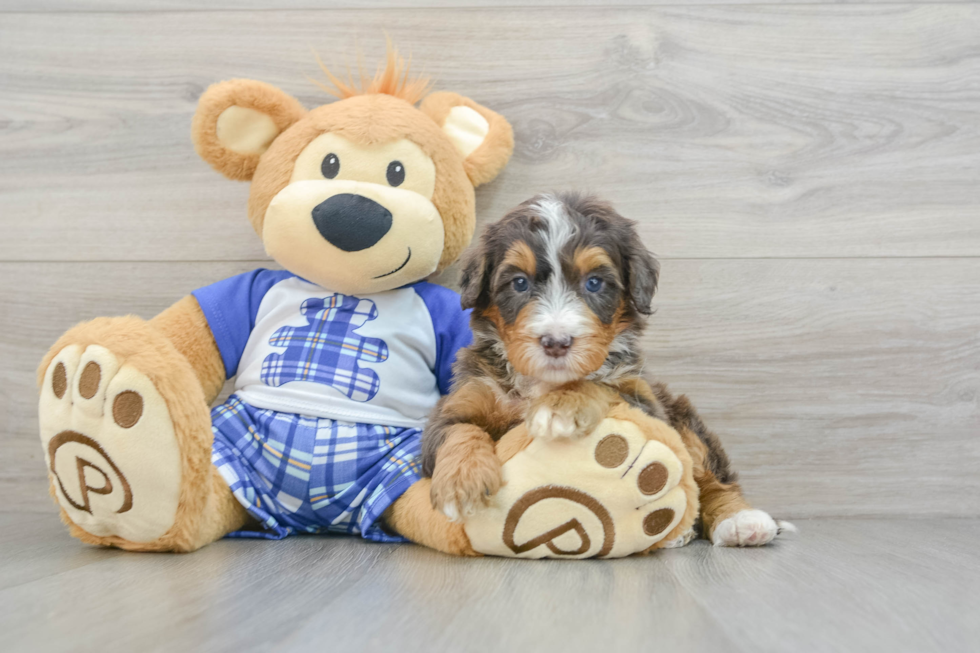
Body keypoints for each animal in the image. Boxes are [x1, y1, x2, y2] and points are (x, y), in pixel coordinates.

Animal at [424, 192, 784, 544]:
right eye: (520, 283)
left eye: (594, 282)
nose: (556, 342)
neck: (542, 383)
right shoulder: (463, 397)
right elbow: (458, 429)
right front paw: (461, 481)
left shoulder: (648, 405)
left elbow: (599, 384)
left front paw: (561, 406)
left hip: (683, 417)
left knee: (711, 476)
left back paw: (740, 522)